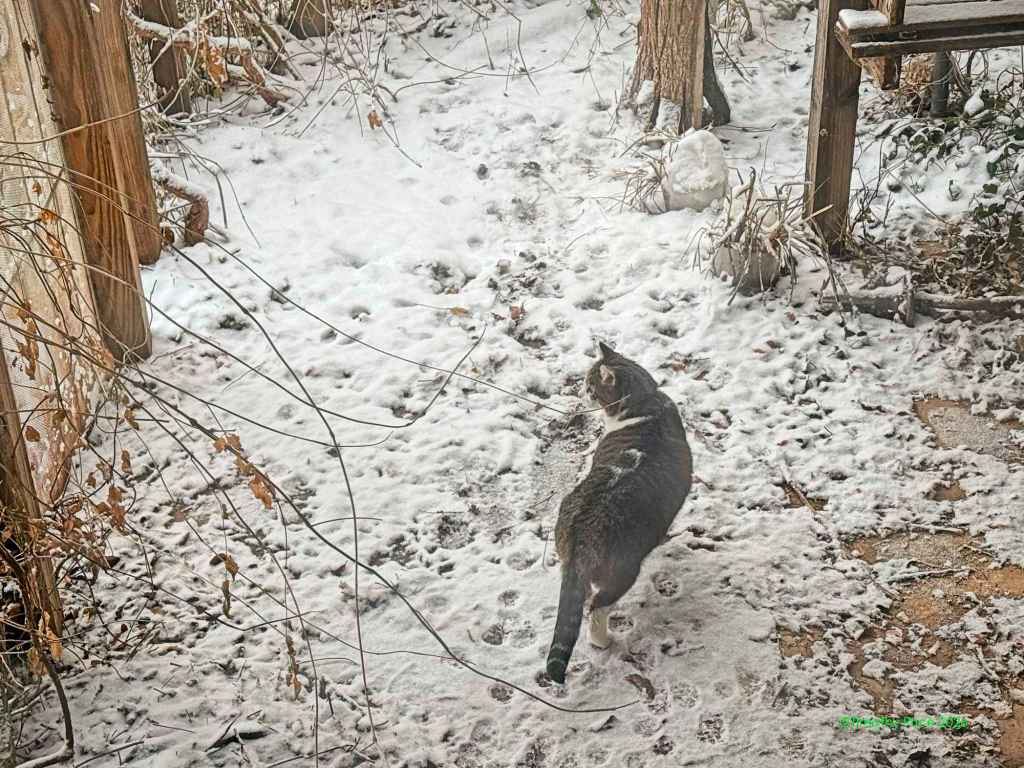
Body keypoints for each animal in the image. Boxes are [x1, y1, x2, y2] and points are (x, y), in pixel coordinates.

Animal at [545, 342, 693, 684]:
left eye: (590, 385)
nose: (581, 389)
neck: (644, 402)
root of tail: (581, 531)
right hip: (623, 570)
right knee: (597, 607)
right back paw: (603, 640)